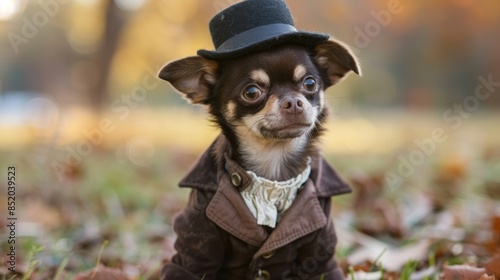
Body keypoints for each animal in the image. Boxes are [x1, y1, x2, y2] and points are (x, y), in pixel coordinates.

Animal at [158, 0, 358, 280]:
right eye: (252, 92)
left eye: (309, 84)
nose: (294, 101)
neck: (273, 167)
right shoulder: (196, 244)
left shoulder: (320, 251)